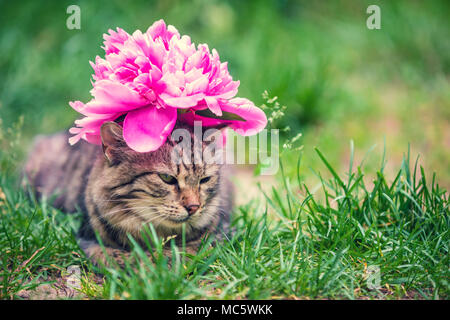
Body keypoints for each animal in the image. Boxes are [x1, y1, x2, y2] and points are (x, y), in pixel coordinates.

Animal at [22, 121, 232, 266]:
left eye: (204, 179)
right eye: (167, 178)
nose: (194, 207)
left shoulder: (221, 233)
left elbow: (188, 251)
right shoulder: (87, 240)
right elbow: (126, 259)